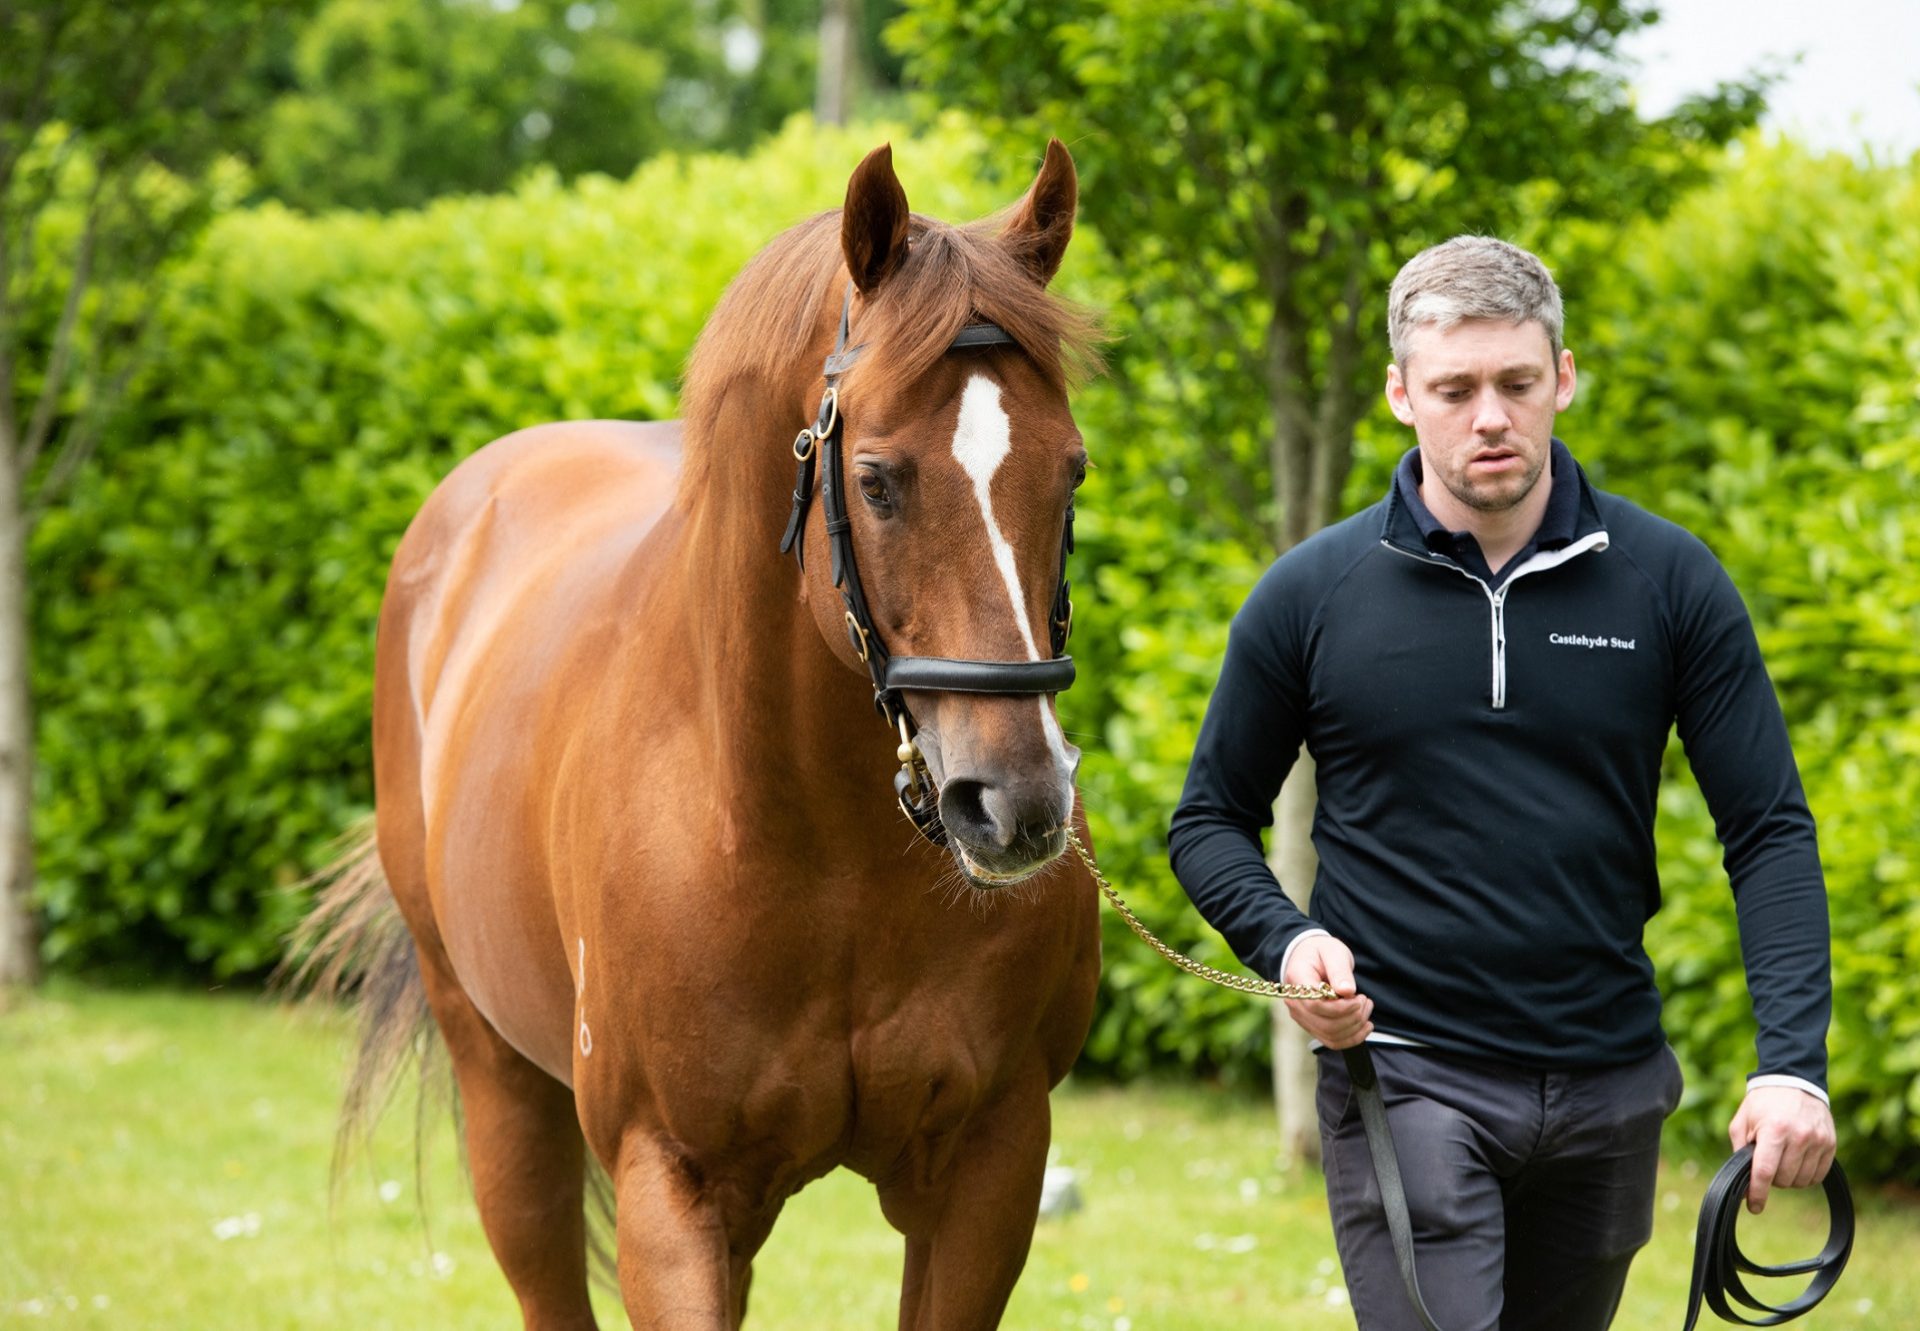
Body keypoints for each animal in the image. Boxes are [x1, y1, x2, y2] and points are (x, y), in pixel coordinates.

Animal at [301, 140, 1113, 1321]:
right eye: (876, 480)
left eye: (1072, 467)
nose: (1015, 803)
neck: (818, 853)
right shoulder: (672, 1188)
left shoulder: (988, 1168)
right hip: (502, 1087)